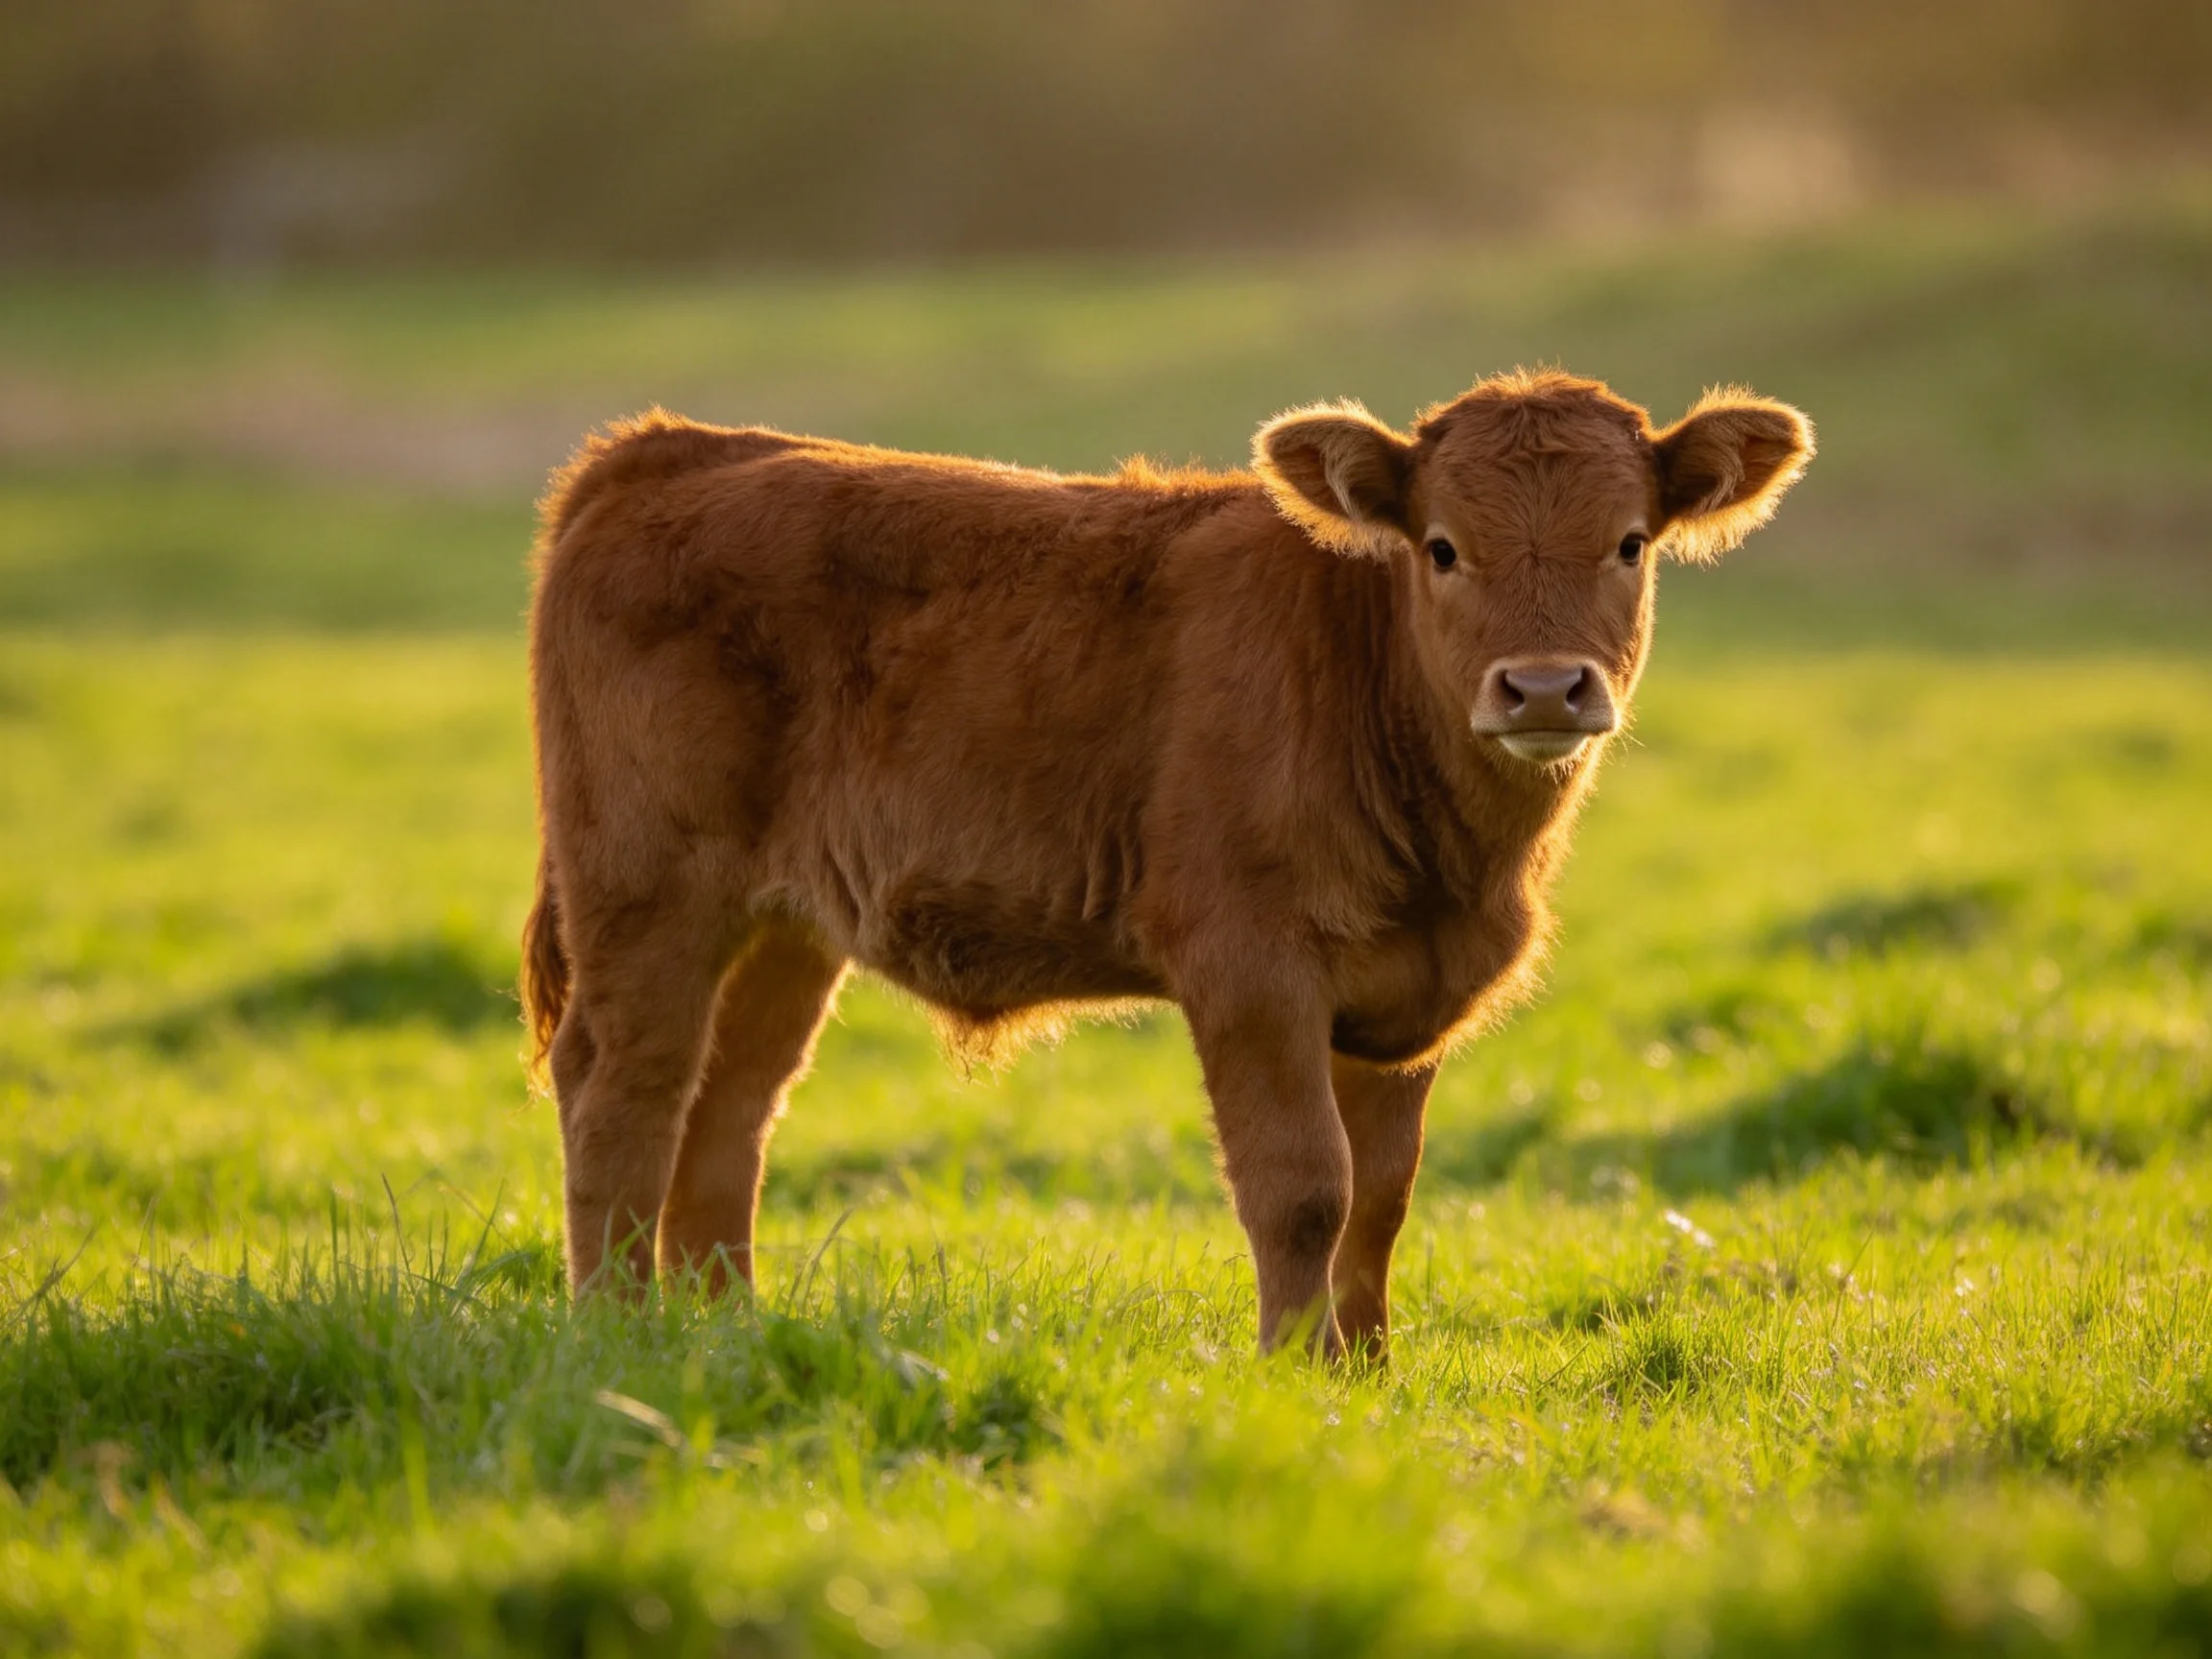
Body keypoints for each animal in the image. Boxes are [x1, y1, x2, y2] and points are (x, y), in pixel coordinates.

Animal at [520, 370, 1813, 1359]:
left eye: (1629, 544)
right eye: (1444, 548)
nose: (1543, 688)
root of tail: (672, 448)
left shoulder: (1405, 1000)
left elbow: (1382, 1200)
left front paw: (1370, 1373)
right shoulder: (1248, 962)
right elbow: (1304, 1187)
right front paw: (1295, 1372)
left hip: (783, 926)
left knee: (731, 1109)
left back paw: (724, 1331)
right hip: (647, 889)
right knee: (623, 1087)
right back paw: (613, 1329)